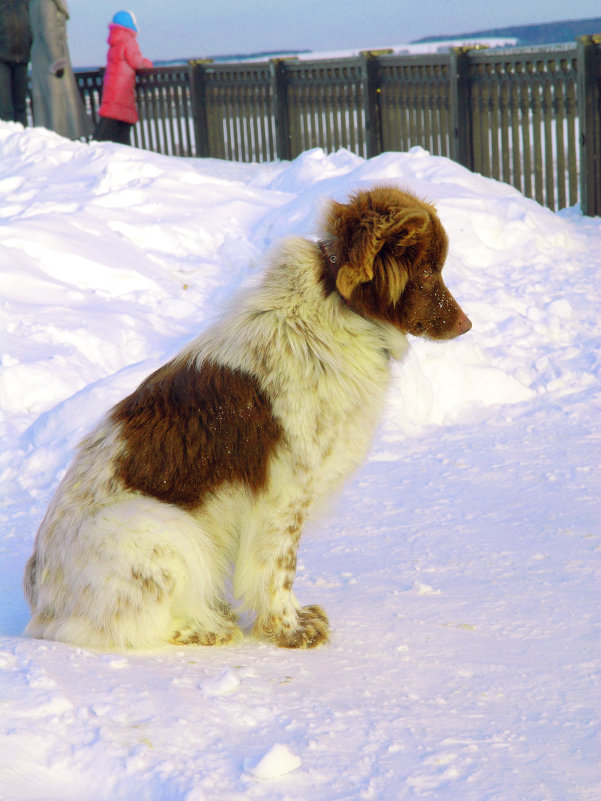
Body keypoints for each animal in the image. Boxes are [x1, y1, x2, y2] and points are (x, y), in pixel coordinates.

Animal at [23, 186, 472, 648]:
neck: (337, 309)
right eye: (428, 271)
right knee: (118, 628)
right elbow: (278, 568)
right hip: (164, 527)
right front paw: (289, 630)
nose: (467, 324)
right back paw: (207, 627)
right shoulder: (285, 492)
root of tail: (41, 602)